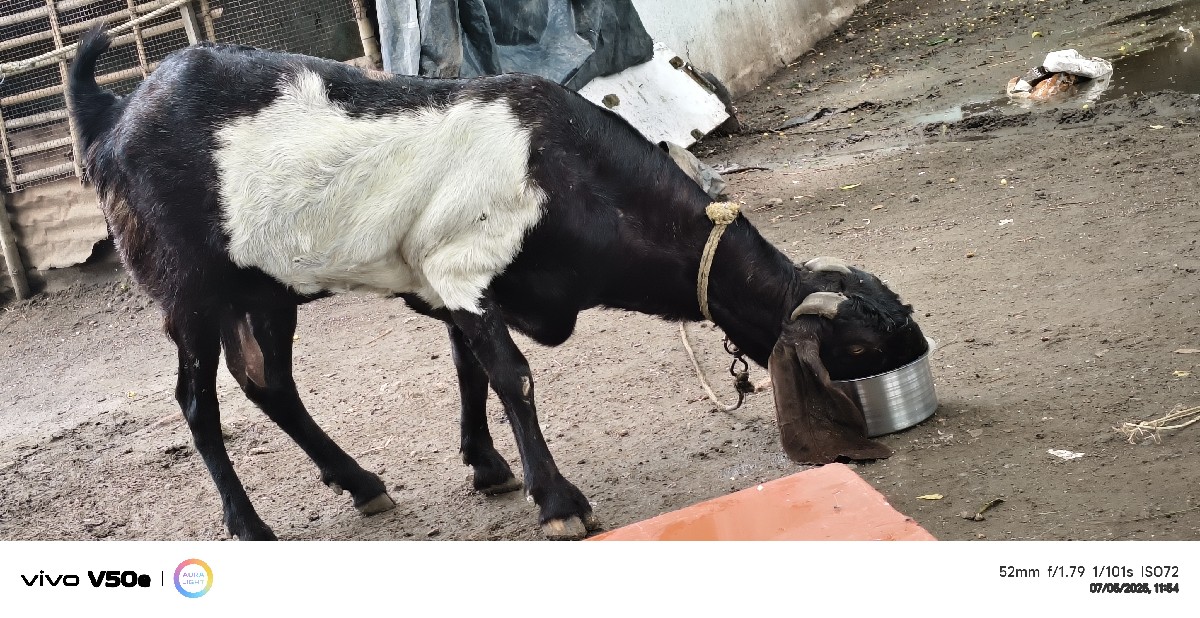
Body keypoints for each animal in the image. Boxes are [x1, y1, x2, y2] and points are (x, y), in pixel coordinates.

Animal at [67, 25, 928, 540]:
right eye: (859, 345)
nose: (906, 378)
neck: (567, 169)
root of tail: (112, 112)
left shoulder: (452, 284)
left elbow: (470, 371)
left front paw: (487, 468)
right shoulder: (460, 267)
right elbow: (511, 375)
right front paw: (560, 503)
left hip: (264, 286)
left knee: (267, 381)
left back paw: (360, 481)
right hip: (186, 289)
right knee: (197, 400)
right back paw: (248, 525)